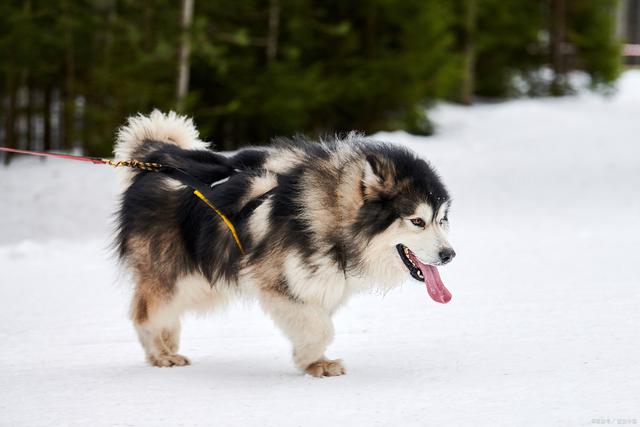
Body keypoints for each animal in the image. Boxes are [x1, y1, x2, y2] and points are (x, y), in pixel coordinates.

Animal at [115, 111, 456, 378]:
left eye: (442, 219)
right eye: (417, 221)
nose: (449, 255)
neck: (331, 214)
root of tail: (156, 161)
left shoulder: (321, 284)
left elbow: (317, 322)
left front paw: (313, 361)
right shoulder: (276, 282)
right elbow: (321, 327)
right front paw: (313, 360)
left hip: (200, 279)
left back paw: (168, 344)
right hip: (173, 273)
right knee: (144, 312)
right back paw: (160, 353)